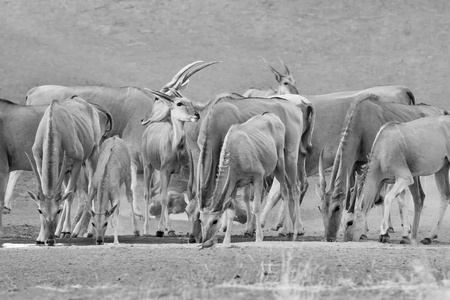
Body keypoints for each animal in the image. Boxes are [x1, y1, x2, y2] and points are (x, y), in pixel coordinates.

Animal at [27, 97, 107, 245]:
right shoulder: (40, 161)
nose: (50, 240)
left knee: (90, 189)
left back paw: (81, 231)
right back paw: (59, 231)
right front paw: (41, 237)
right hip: (64, 170)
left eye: (58, 211)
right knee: (67, 191)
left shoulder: (76, 162)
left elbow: (69, 197)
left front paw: (66, 230)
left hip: (92, 155)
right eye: (40, 211)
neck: (53, 125)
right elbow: (61, 194)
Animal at [201, 112, 288, 244]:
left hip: (279, 166)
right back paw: (249, 229)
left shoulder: (258, 176)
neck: (235, 150)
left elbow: (256, 207)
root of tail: (272, 116)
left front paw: (259, 238)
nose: (203, 240)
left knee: (285, 191)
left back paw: (284, 229)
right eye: (201, 220)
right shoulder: (234, 183)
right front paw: (226, 241)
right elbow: (231, 211)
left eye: (215, 221)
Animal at [350, 116, 450, 245]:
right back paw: (428, 237)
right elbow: (396, 200)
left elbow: (388, 198)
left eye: (350, 222)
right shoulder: (395, 180)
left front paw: (384, 232)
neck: (382, 148)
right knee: (444, 196)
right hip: (442, 168)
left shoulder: (406, 177)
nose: (347, 238)